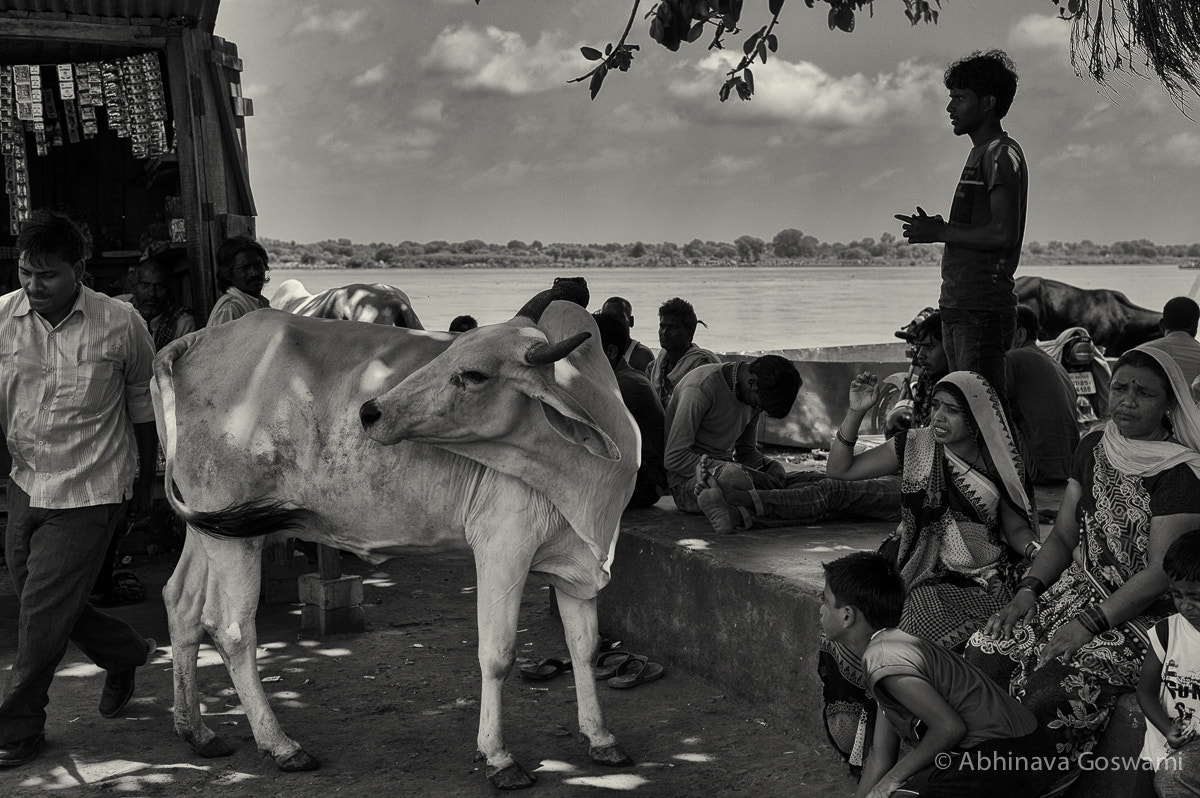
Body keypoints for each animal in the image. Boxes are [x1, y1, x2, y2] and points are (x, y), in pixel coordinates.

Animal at [154, 294, 643, 792]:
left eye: (474, 375)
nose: (370, 411)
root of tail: (193, 341)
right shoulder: (502, 551)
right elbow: (498, 654)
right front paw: (498, 756)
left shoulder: (577, 561)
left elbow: (584, 647)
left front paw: (600, 737)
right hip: (237, 538)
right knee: (230, 628)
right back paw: (280, 745)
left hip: (214, 527)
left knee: (181, 602)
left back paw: (196, 731)